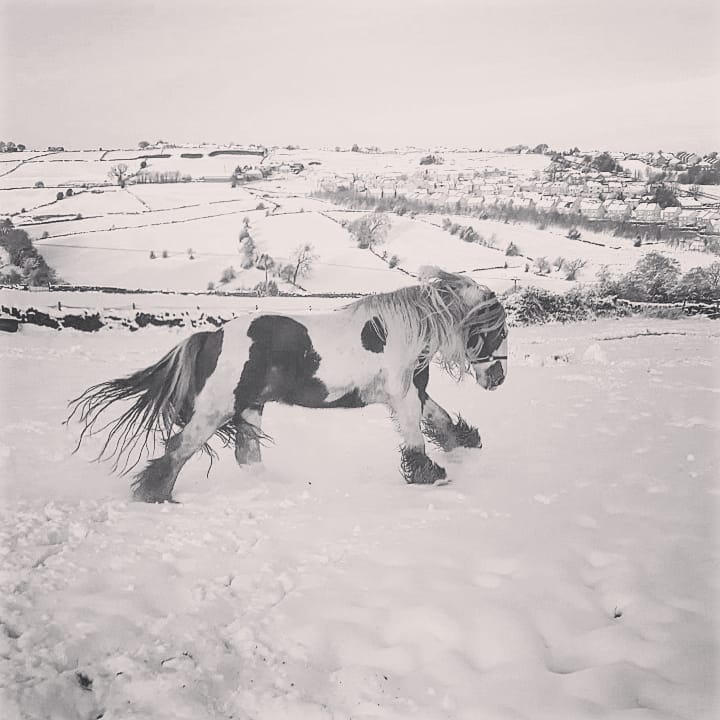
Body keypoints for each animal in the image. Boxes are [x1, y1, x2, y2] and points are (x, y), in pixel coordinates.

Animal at [67, 269, 508, 502]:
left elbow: (441, 419)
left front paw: (465, 444)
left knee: (247, 456)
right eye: (499, 331)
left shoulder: (414, 392)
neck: (405, 329)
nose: (498, 378)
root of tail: (211, 336)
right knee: (179, 448)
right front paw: (431, 475)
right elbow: (417, 438)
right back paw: (155, 496)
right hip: (216, 409)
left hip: (249, 408)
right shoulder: (403, 396)